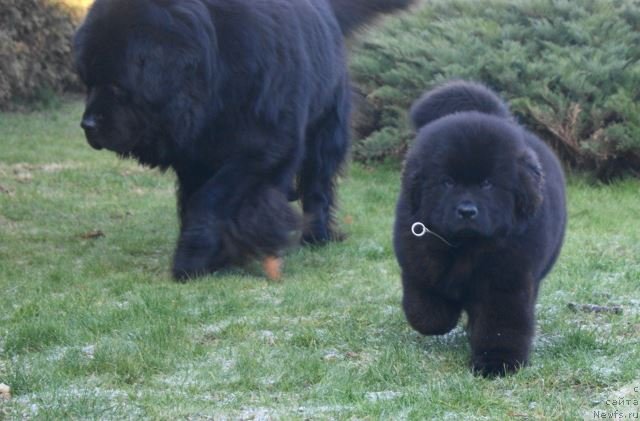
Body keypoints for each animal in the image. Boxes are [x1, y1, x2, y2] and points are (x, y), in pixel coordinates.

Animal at [74, 0, 416, 282]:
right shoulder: (194, 152)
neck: (215, 68)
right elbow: (194, 195)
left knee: (318, 184)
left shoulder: (266, 145)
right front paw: (213, 254)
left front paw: (193, 257)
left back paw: (317, 236)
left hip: (326, 122)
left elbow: (212, 197)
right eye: (88, 82)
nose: (86, 124)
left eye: (117, 86)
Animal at [392, 80, 568, 376]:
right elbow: (425, 311)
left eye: (487, 184)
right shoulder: (417, 259)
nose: (466, 211)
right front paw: (444, 315)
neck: (465, 246)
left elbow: (501, 325)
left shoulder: (507, 281)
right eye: (447, 182)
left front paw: (497, 364)